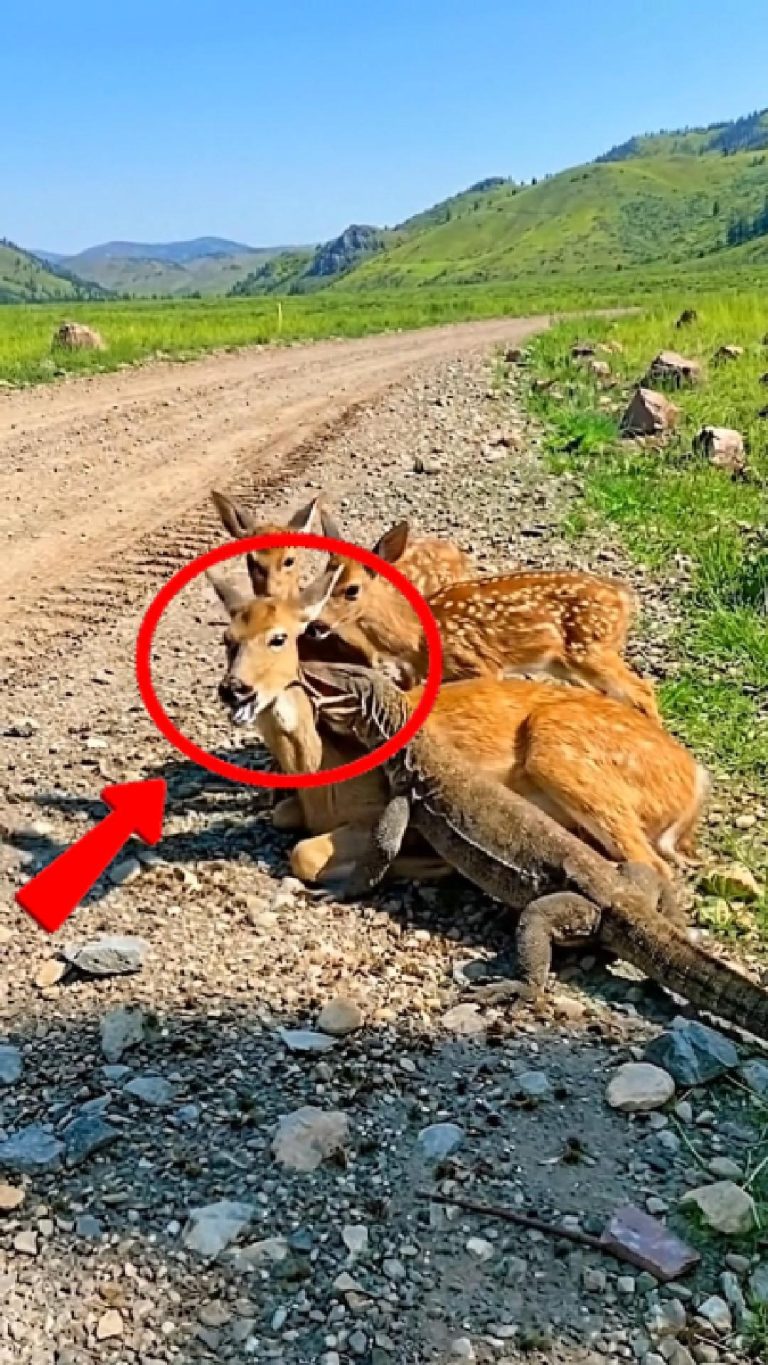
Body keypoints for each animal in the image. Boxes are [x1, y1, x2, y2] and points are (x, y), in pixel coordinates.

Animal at [208, 568, 707, 886]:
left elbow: (305, 854)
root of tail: (696, 784)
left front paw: (424, 866)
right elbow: (284, 817)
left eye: (280, 637)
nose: (235, 689)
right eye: (227, 639)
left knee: (650, 863)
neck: (319, 768)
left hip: (561, 753)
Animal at [309, 519, 659, 718]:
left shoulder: (478, 666)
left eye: (352, 590)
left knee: (643, 691)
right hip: (566, 661)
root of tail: (624, 597)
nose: (316, 626)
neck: (415, 639)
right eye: (319, 579)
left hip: (591, 647)